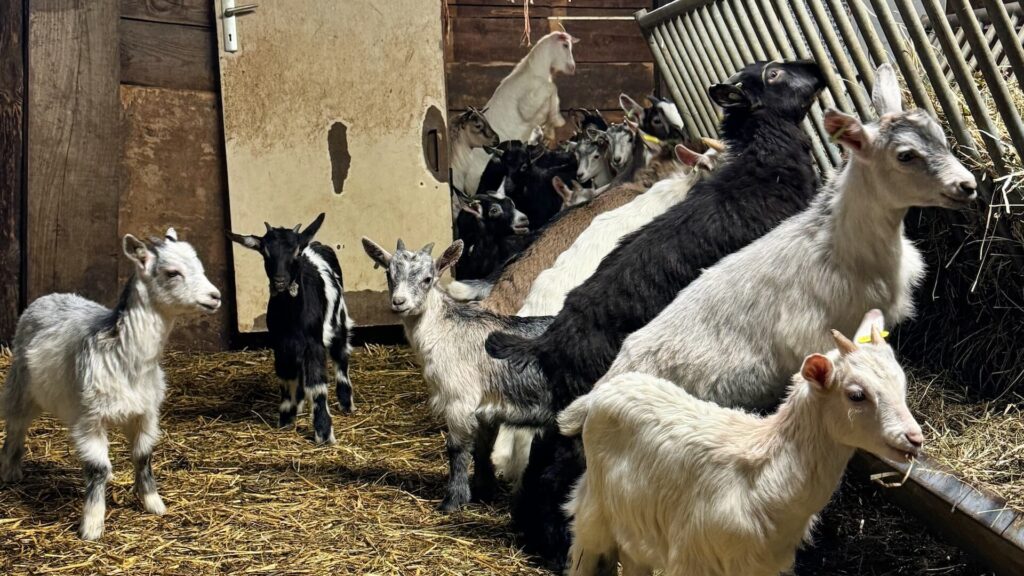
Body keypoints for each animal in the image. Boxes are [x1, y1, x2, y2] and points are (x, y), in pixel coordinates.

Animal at [226, 213, 354, 440]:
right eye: (265, 252)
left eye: (296, 252)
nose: (280, 281)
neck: (293, 318)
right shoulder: (282, 345)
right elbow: (287, 380)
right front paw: (286, 418)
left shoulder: (314, 344)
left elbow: (317, 385)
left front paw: (323, 431)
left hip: (339, 322)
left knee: (341, 357)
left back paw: (346, 403)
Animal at [360, 235, 552, 508]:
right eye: (389, 273)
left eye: (427, 278)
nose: (399, 302)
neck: (446, 330)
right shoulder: (487, 408)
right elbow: (483, 447)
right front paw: (483, 491)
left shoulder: (459, 398)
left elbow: (457, 448)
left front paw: (453, 500)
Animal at [565, 311, 925, 573]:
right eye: (856, 395)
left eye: (902, 383)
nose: (915, 438)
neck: (765, 477)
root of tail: (608, 388)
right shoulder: (693, 559)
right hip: (593, 508)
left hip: (634, 525)